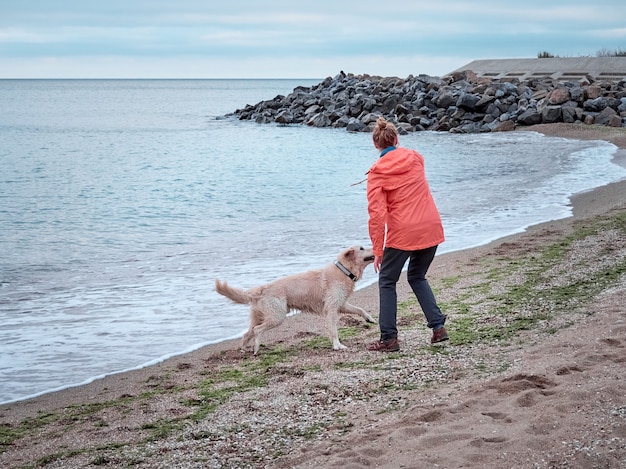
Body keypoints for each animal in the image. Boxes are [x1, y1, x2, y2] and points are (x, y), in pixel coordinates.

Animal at [214, 247, 372, 352]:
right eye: (361, 248)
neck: (343, 271)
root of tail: (261, 289)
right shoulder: (331, 309)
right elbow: (334, 330)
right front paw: (337, 345)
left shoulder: (341, 304)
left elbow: (360, 309)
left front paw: (369, 318)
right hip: (277, 316)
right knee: (257, 330)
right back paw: (257, 348)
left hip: (260, 316)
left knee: (247, 333)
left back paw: (243, 349)